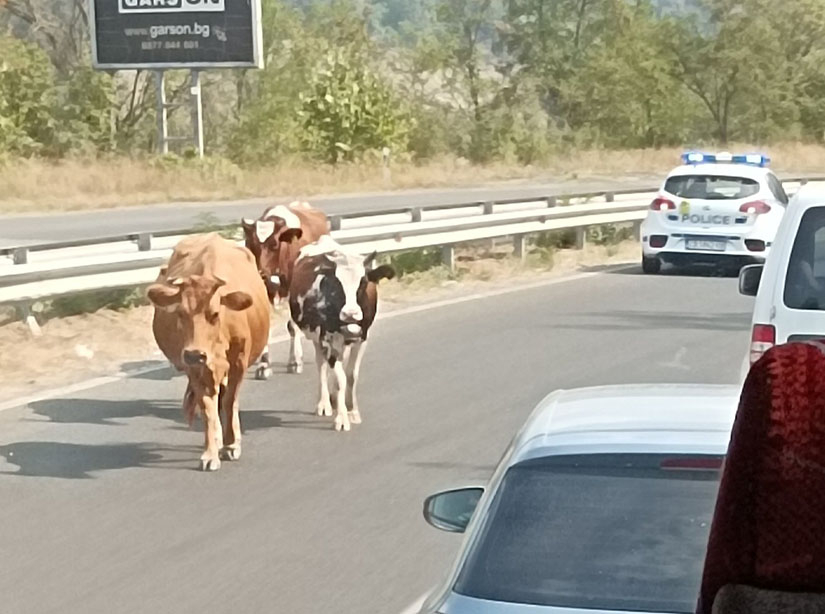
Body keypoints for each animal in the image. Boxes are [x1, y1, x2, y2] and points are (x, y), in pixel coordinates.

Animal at [145, 233, 268, 474]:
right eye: (180, 313)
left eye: (215, 313)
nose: (195, 354)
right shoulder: (195, 369)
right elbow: (208, 408)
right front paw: (211, 452)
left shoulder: (238, 362)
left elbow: (230, 401)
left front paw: (231, 444)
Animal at [240, 202, 330, 380]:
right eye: (251, 243)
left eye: (274, 244)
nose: (260, 273)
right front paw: (264, 365)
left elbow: (292, 326)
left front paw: (295, 362)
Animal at [288, 236, 394, 434]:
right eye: (336, 284)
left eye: (363, 282)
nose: (350, 314)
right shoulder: (327, 340)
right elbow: (341, 378)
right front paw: (342, 418)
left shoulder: (362, 338)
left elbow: (351, 375)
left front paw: (351, 410)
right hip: (317, 337)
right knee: (321, 365)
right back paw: (324, 403)